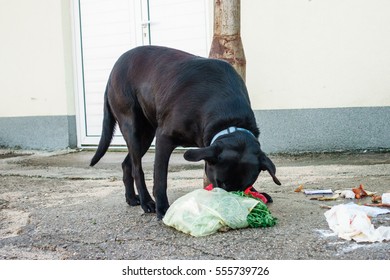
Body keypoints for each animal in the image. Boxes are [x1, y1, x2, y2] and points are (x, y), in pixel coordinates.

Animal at [91, 45, 280, 219]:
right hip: (133, 127)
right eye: (220, 183)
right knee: (137, 168)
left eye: (243, 187)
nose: (230, 210)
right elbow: (160, 177)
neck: (229, 118)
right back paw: (147, 202)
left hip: (146, 134)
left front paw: (256, 192)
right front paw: (163, 208)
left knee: (127, 164)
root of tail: (112, 72)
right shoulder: (164, 137)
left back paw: (131, 198)